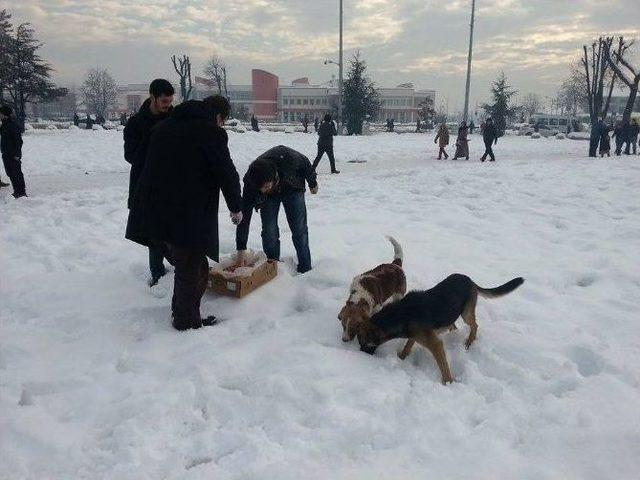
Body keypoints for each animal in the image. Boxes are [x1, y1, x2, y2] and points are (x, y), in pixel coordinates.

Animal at [358, 274, 524, 382]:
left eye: (364, 343)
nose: (360, 355)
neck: (399, 315)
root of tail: (470, 280)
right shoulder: (417, 335)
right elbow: (408, 345)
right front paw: (402, 357)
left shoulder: (435, 344)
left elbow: (443, 366)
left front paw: (448, 383)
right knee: (454, 326)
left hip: (466, 313)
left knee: (475, 325)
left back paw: (469, 342)